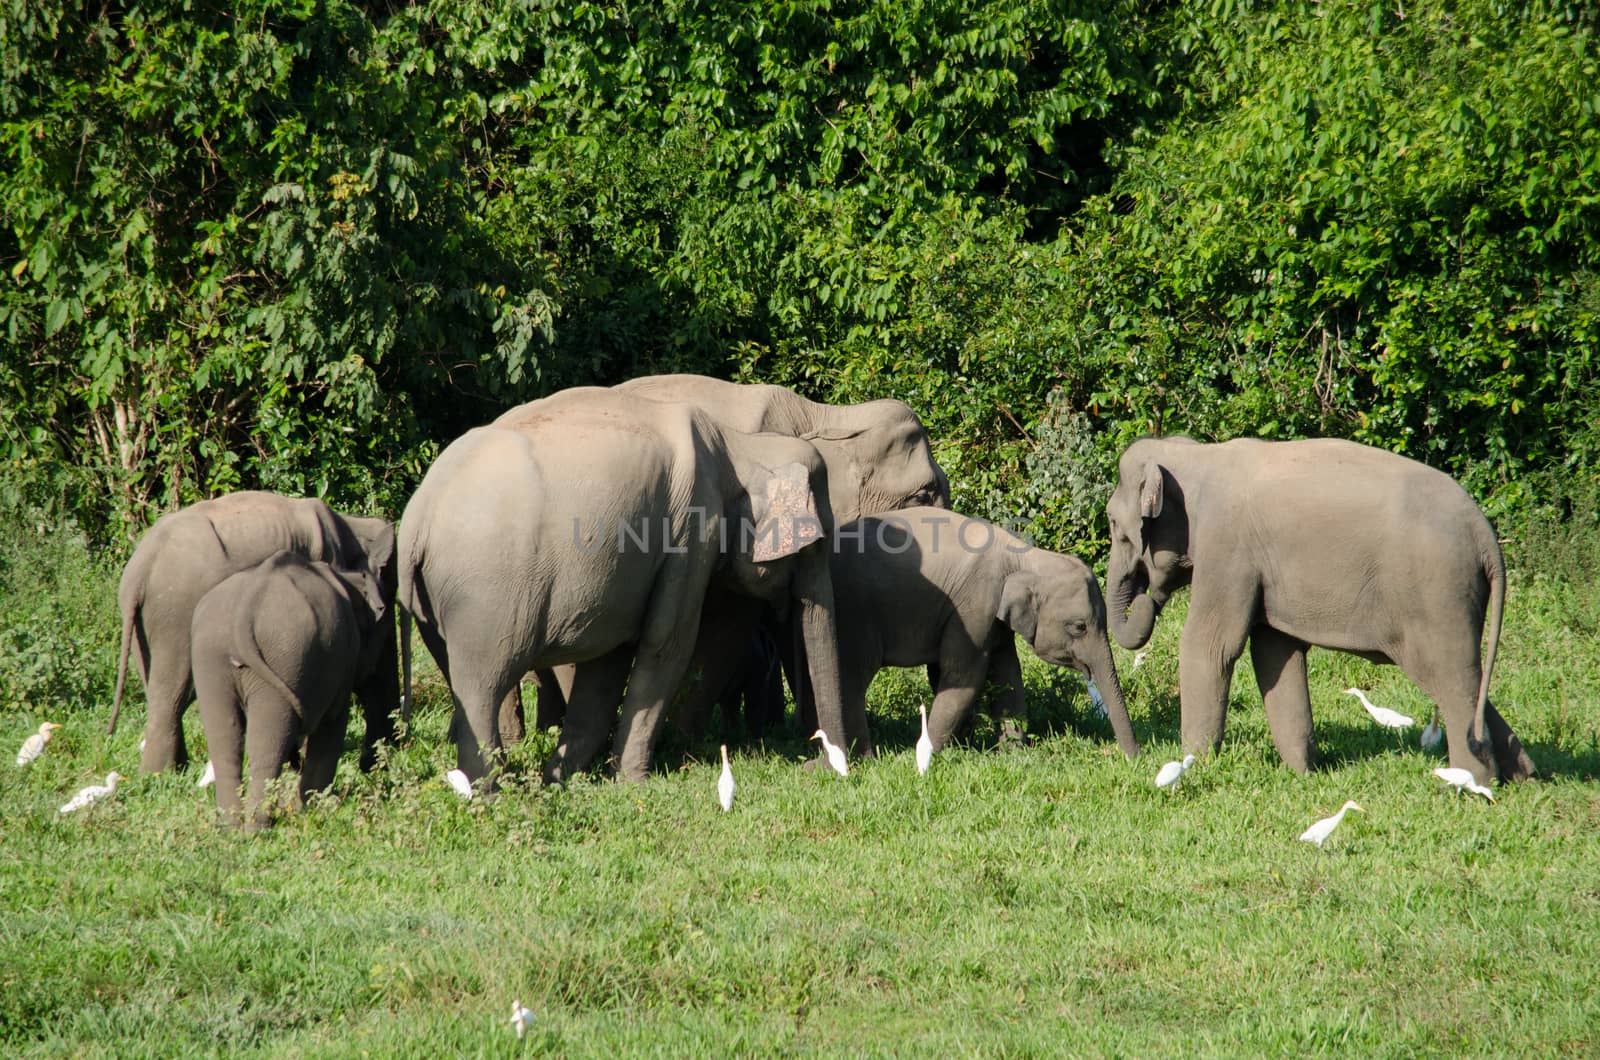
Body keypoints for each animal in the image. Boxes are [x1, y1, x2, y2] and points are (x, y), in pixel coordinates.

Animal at [108, 493, 398, 778]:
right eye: (385, 616)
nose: (375, 765)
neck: (351, 526)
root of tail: (141, 571)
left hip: (144, 623)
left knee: (159, 689)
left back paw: (173, 773)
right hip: (176, 611)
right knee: (172, 692)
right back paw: (162, 775)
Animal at [192, 550, 392, 832]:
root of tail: (245, 609)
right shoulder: (341, 665)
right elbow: (332, 726)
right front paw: (315, 808)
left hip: (210, 656)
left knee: (224, 737)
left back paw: (231, 826)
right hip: (285, 654)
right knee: (266, 741)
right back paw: (256, 828)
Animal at [398, 385, 851, 784]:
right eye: (817, 542)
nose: (816, 765)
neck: (742, 446)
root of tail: (417, 519)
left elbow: (609, 661)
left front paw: (561, 778)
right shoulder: (689, 534)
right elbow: (667, 644)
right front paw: (634, 782)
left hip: (436, 604)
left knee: (467, 682)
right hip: (484, 595)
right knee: (483, 686)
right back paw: (492, 794)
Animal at [825, 505, 1139, 755]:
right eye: (1079, 627)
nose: (1134, 758)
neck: (1025, 557)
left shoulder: (995, 620)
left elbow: (1007, 675)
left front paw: (1012, 753)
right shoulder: (974, 606)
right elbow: (965, 676)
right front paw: (924, 757)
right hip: (856, 614)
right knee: (853, 678)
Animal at [1100, 435, 1536, 787]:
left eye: (1113, 524)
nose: (1144, 597)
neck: (1197, 456)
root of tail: (1485, 535)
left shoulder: (1226, 547)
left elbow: (1210, 646)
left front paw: (1194, 762)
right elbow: (1275, 653)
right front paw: (1303, 772)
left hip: (1437, 592)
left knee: (1451, 676)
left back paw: (1473, 784)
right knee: (1467, 680)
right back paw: (1524, 778)